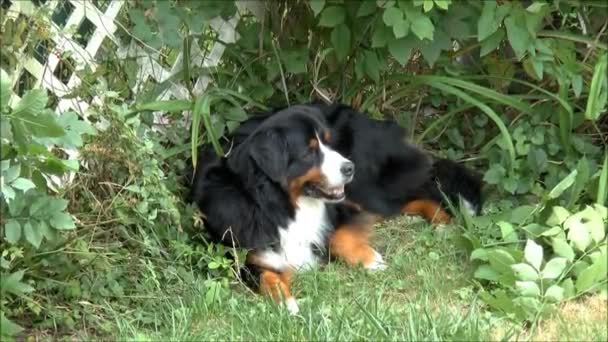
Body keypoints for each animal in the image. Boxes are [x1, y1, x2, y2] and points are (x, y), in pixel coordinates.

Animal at [191, 105, 384, 314]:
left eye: (329, 143)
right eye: (309, 153)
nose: (350, 168)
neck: (279, 206)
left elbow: (338, 236)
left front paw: (369, 258)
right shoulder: (243, 257)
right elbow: (267, 276)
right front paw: (283, 300)